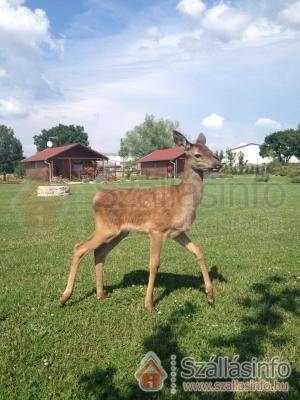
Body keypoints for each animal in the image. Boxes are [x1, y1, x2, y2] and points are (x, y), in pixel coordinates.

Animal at [59, 131, 221, 312]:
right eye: (197, 154)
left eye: (211, 151)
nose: (218, 164)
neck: (182, 200)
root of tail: (96, 197)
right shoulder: (157, 229)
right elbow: (154, 264)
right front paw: (149, 303)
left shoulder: (177, 232)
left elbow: (198, 251)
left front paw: (210, 295)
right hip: (106, 228)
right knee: (79, 247)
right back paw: (64, 298)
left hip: (119, 232)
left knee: (99, 252)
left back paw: (100, 294)